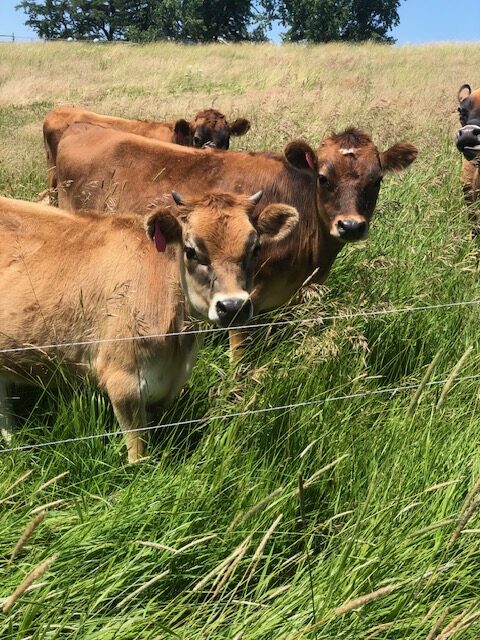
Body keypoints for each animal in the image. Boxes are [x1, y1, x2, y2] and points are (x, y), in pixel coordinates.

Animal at [0, 193, 298, 462]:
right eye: (191, 251)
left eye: (255, 249)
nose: (233, 306)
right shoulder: (124, 383)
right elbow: (138, 453)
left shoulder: (169, 386)